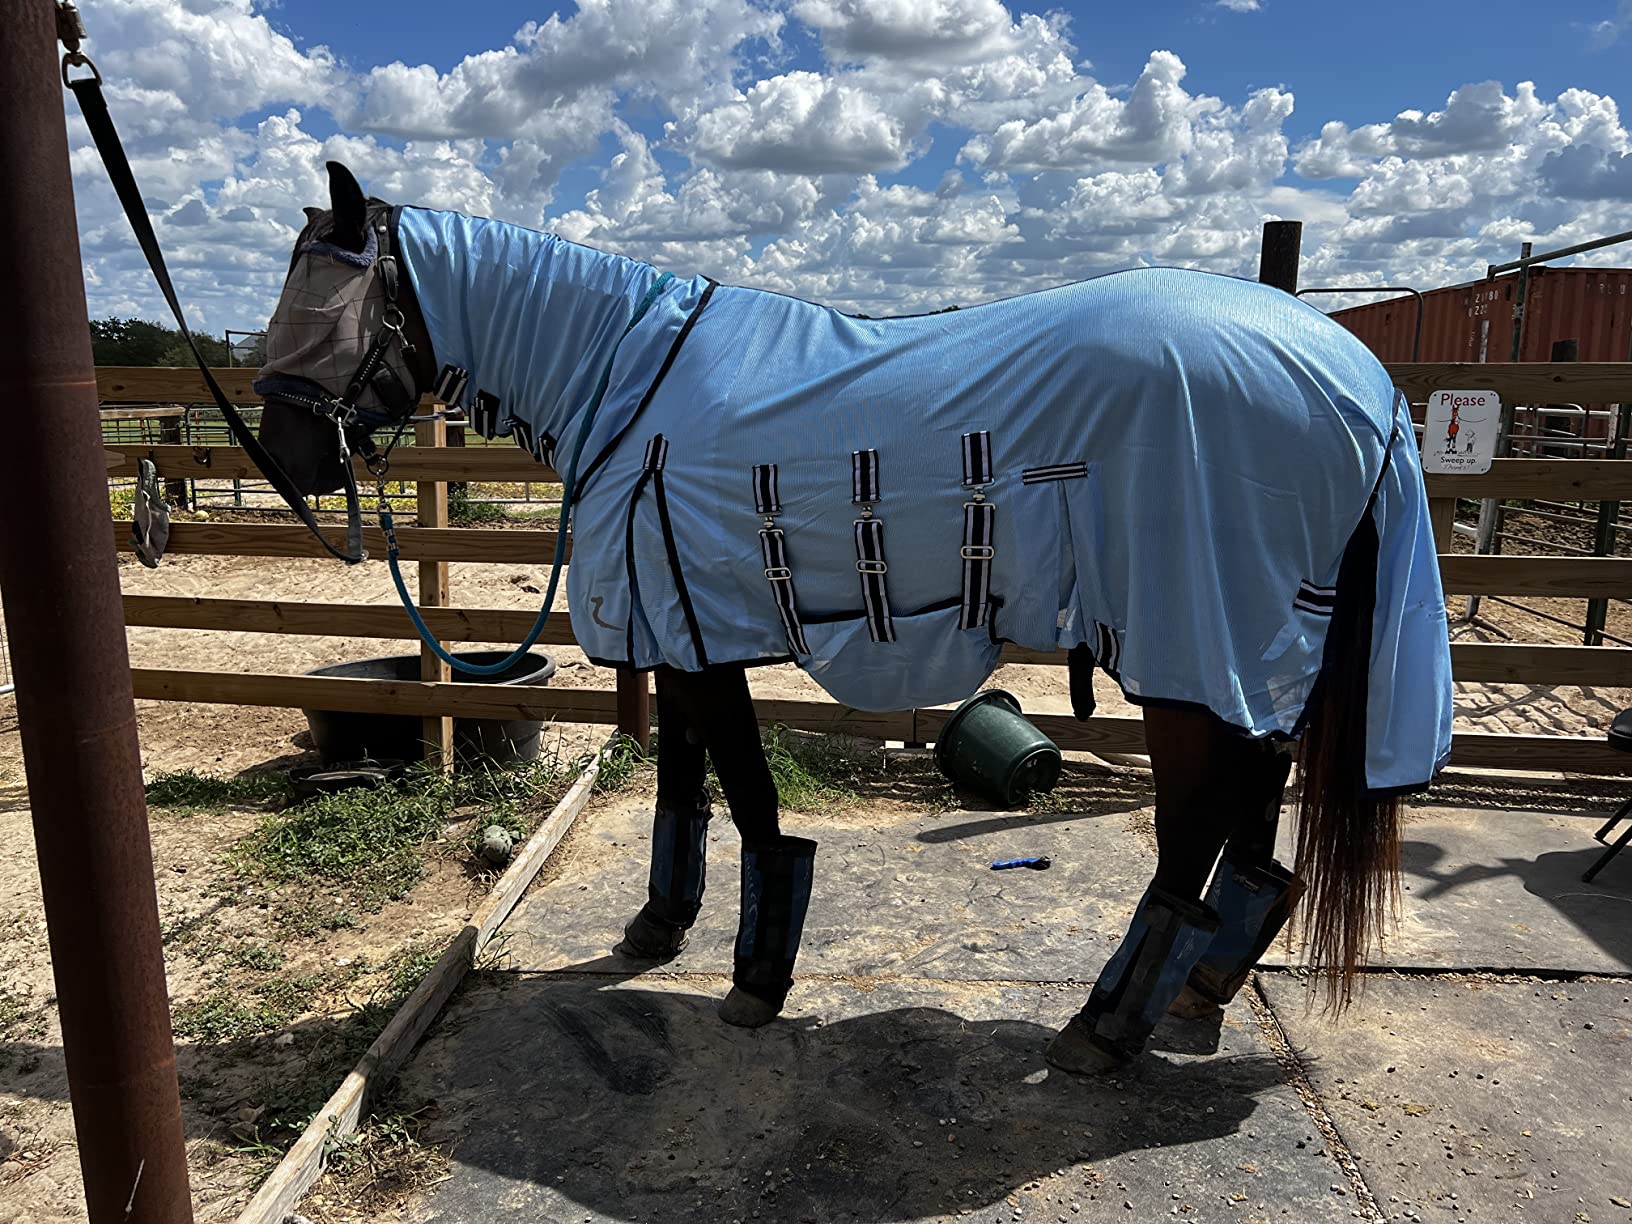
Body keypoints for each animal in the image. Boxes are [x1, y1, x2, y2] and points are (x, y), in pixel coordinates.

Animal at [251, 162, 1453, 1071]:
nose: (289, 464)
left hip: (1199, 650)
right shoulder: (676, 631)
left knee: (1191, 833)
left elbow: (747, 803)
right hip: (1265, 651)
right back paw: (1200, 992)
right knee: (1253, 817)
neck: (632, 382)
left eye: (326, 310)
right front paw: (656, 928)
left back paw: (1107, 1026)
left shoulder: (702, 637)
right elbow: (682, 789)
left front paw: (755, 979)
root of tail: (1363, 380)